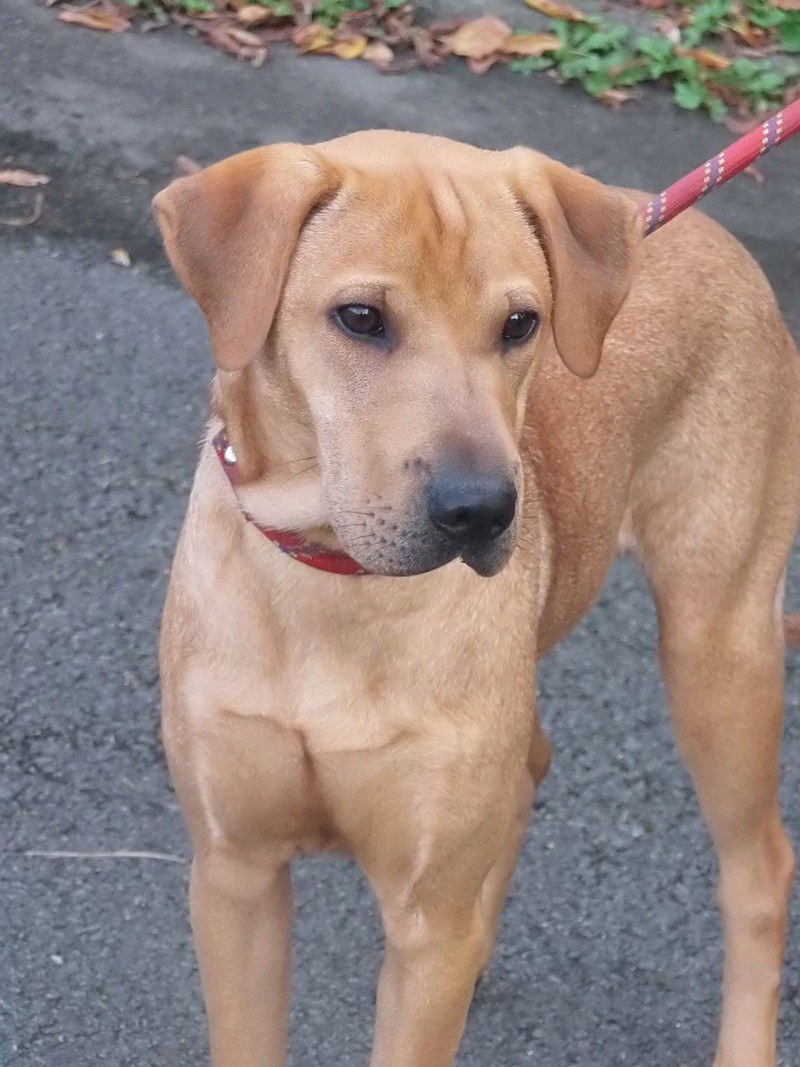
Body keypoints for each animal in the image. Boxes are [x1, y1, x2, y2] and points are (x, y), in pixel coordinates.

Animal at [153, 133, 797, 1067]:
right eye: (360, 318)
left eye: (520, 324)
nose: (482, 508)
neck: (336, 585)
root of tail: (708, 231)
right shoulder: (236, 875)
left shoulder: (424, 920)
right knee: (531, 765)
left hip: (718, 647)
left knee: (760, 870)